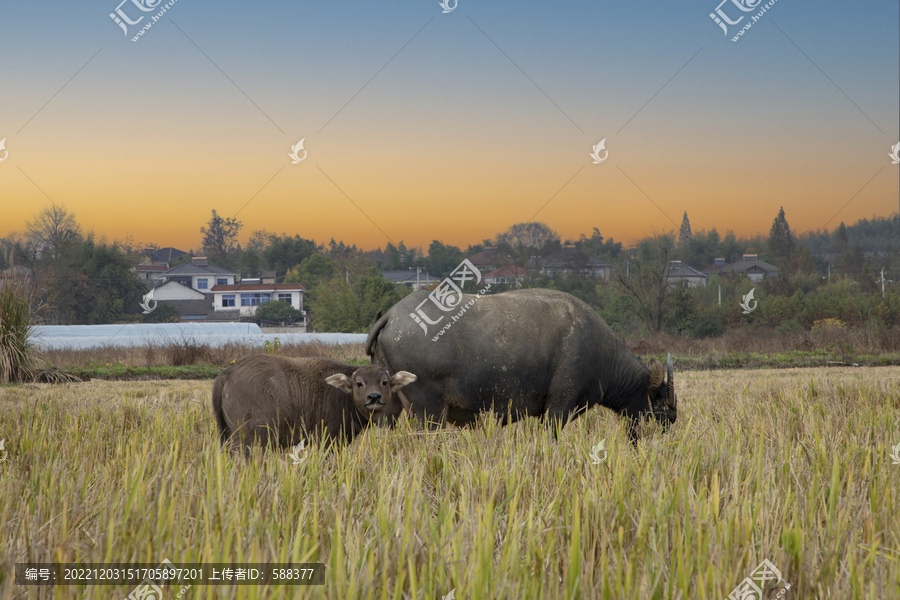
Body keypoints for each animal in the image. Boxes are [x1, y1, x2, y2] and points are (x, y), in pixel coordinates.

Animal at [214, 354, 418, 452]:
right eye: (359, 383)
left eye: (385, 382)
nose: (374, 397)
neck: (343, 395)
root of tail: (230, 372)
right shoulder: (327, 440)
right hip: (253, 439)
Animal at [366, 288, 676, 438]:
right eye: (662, 406)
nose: (670, 426)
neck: (599, 352)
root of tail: (392, 315)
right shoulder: (558, 408)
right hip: (429, 412)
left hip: (389, 409)